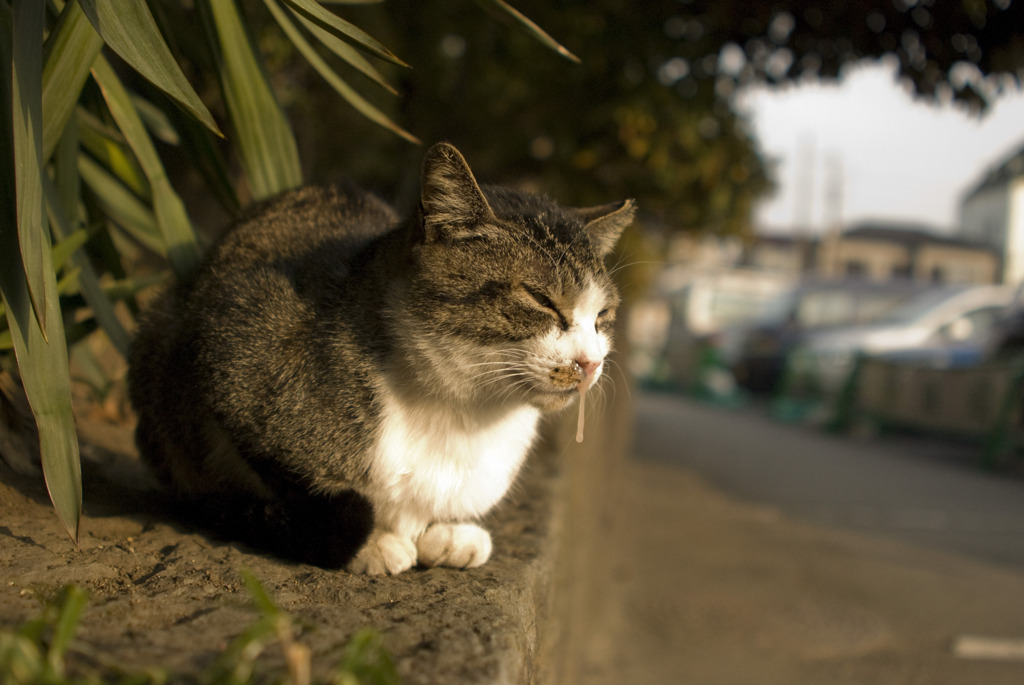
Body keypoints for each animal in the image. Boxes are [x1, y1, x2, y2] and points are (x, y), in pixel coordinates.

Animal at [128, 143, 630, 573]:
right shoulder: (230, 359)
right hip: (162, 333)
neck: (459, 411)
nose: (590, 363)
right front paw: (373, 543)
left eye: (602, 315)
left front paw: (446, 533)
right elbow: (299, 488)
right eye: (541, 300)